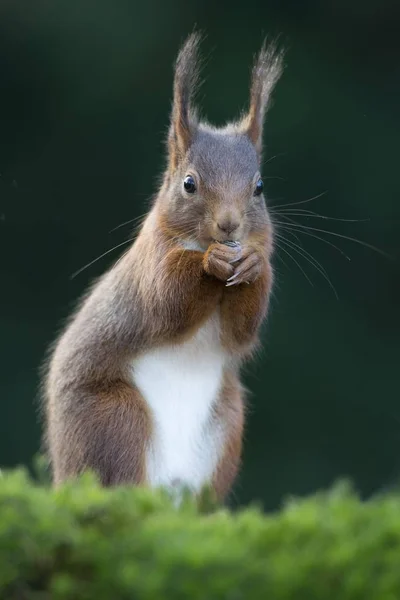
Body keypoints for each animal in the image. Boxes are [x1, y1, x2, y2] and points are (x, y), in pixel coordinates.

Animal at [42, 34, 282, 502]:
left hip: (226, 425)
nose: (229, 225)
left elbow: (242, 331)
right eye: (189, 184)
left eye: (260, 187)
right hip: (113, 417)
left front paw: (252, 264)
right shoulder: (150, 264)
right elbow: (167, 302)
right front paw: (208, 263)